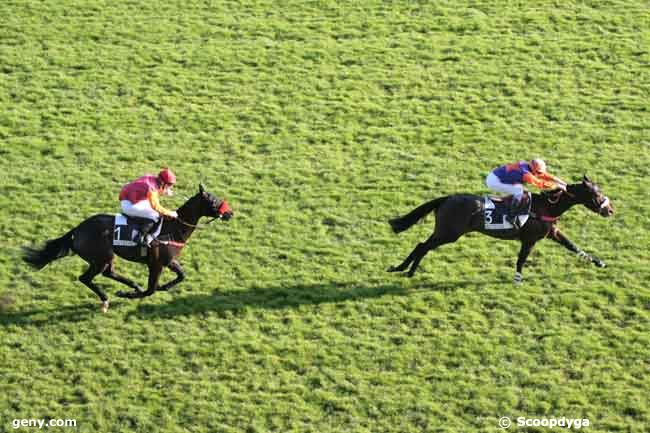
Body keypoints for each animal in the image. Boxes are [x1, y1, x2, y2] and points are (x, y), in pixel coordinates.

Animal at [23, 182, 233, 310]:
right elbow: (151, 290)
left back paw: (132, 285)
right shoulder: (156, 264)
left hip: (106, 257)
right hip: (99, 258)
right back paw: (107, 298)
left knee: (108, 273)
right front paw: (129, 295)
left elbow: (181, 276)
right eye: (213, 200)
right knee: (86, 278)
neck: (174, 228)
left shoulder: (168, 261)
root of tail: (77, 230)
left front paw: (162, 287)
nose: (230, 213)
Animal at [390, 176, 612, 284]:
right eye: (596, 194)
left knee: (422, 245)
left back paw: (404, 269)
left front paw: (599, 262)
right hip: (449, 233)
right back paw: (405, 270)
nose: (610, 210)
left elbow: (573, 246)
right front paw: (517, 280)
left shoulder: (552, 234)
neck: (547, 207)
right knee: (423, 246)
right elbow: (521, 259)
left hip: (445, 232)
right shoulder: (530, 240)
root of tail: (447, 199)